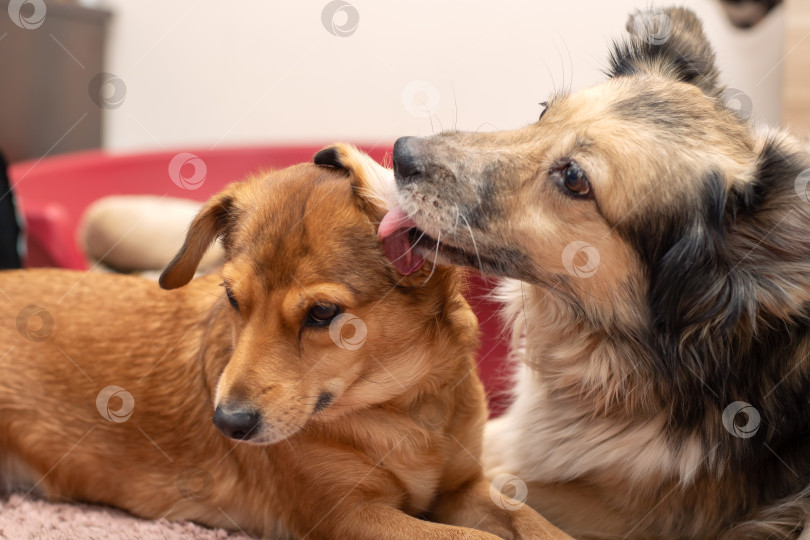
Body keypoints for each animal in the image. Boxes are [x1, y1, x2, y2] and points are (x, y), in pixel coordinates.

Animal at [0, 146, 568, 536]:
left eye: (322, 313)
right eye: (231, 297)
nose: (228, 424)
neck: (404, 407)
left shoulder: (461, 487)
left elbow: (527, 514)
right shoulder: (352, 515)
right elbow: (474, 537)